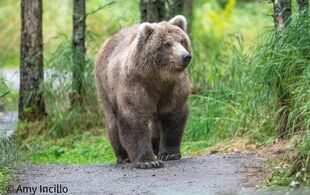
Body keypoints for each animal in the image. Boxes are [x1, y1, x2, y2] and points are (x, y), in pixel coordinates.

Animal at [94, 15, 191, 168]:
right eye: (167, 44)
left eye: (182, 40)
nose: (185, 56)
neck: (158, 78)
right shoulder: (135, 84)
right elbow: (135, 118)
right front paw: (149, 161)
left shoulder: (173, 87)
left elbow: (173, 116)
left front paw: (169, 153)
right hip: (105, 87)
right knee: (112, 121)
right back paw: (123, 156)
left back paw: (155, 144)